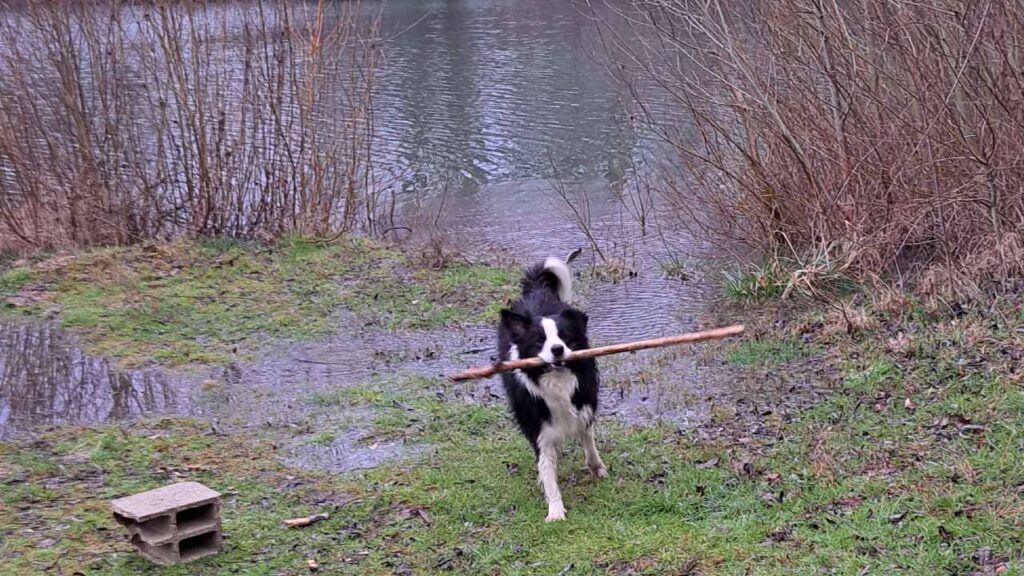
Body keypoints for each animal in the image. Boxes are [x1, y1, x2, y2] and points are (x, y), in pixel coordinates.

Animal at [497, 255, 602, 520]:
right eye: (538, 341)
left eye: (565, 337)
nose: (557, 349)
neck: (556, 379)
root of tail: (537, 290)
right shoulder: (538, 428)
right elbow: (547, 471)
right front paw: (555, 511)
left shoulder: (584, 401)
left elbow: (587, 435)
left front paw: (596, 466)